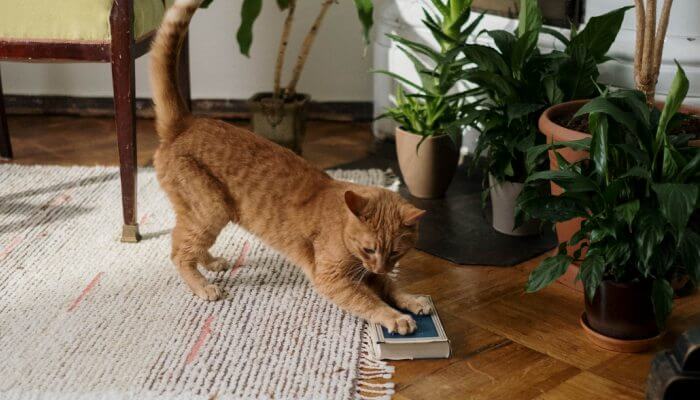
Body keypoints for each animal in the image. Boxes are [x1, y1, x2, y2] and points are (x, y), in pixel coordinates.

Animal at [150, 0, 430, 334]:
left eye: (396, 252)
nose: (380, 265)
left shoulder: (368, 274)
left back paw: (212, 262)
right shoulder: (334, 279)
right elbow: (371, 303)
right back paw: (204, 286)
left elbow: (392, 287)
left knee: (186, 242)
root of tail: (185, 123)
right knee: (179, 251)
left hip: (204, 213)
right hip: (210, 209)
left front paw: (412, 300)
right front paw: (395, 317)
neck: (341, 225)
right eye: (369, 249)